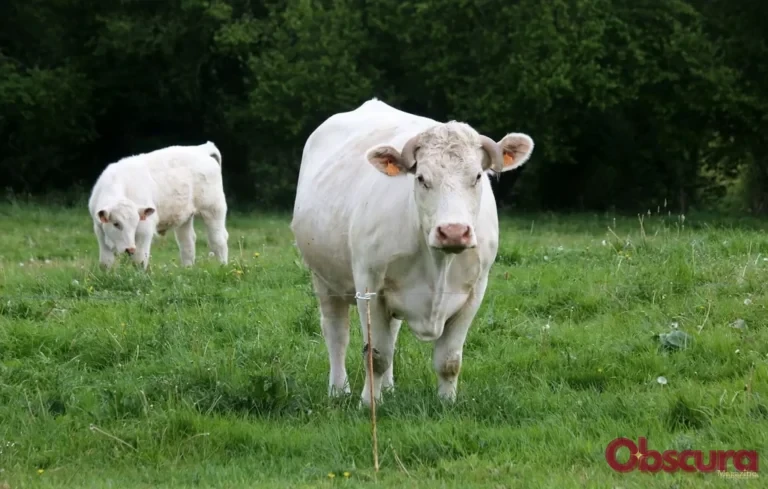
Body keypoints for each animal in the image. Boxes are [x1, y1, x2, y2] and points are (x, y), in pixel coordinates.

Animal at [87, 141, 229, 270]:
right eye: (116, 224)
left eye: (136, 223)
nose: (130, 249)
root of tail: (202, 149)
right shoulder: (99, 230)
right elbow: (106, 262)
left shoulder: (145, 229)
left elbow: (139, 260)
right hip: (185, 217)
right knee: (187, 242)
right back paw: (187, 269)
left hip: (213, 209)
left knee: (218, 240)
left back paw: (222, 266)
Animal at [290, 99, 534, 406]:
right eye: (421, 178)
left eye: (477, 176)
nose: (453, 231)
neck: (438, 263)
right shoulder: (369, 287)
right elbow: (376, 356)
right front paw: (369, 402)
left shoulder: (475, 292)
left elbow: (449, 360)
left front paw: (446, 402)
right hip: (324, 278)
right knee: (336, 333)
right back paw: (338, 389)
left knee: (391, 334)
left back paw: (389, 387)